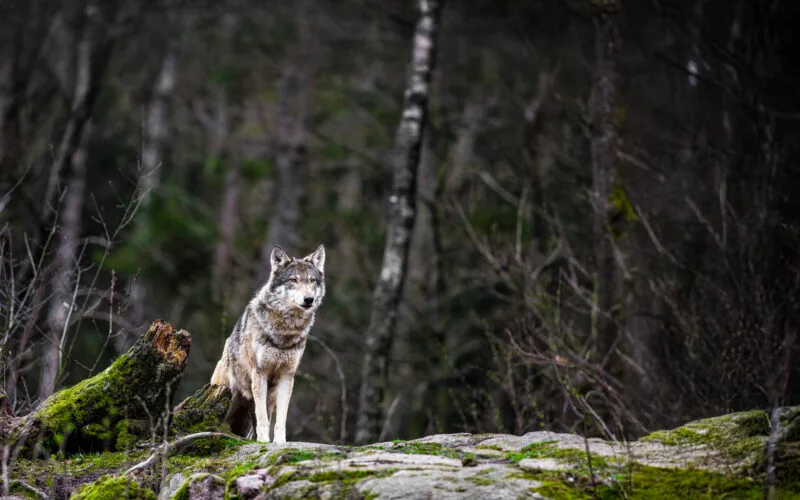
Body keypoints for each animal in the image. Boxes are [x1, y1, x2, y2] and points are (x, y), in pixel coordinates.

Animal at [210, 244, 325, 443]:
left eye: (312, 281)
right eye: (293, 280)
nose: (309, 299)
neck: (285, 331)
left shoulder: (287, 376)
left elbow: (280, 419)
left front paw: (280, 442)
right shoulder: (260, 373)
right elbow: (262, 417)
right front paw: (264, 440)